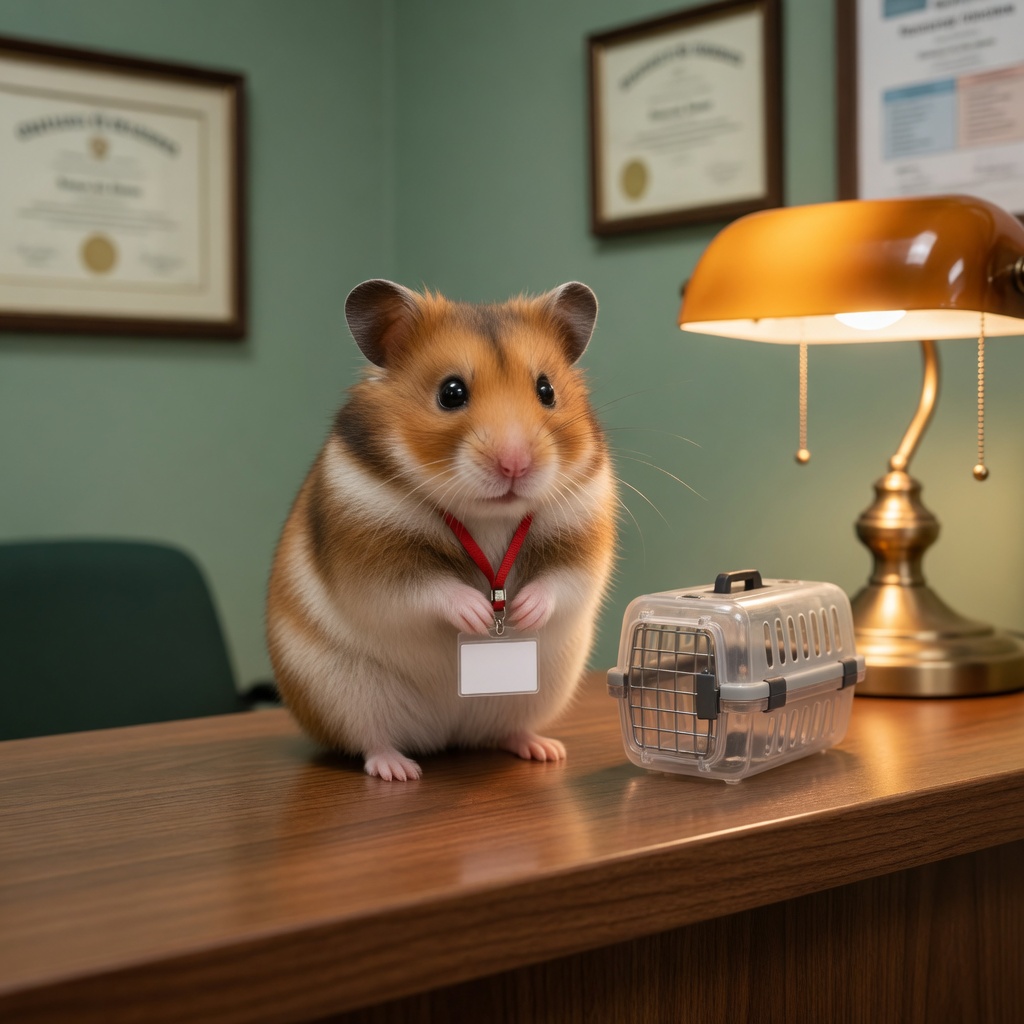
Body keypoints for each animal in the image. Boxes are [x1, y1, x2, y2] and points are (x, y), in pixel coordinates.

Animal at [266, 279, 616, 781]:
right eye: (451, 392)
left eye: (546, 390)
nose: (515, 465)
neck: (487, 516)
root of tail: (447, 735)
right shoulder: (372, 556)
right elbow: (426, 589)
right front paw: (477, 614)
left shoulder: (585, 533)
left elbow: (562, 581)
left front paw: (522, 612)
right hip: (342, 695)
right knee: (370, 740)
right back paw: (399, 771)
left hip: (535, 695)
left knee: (505, 731)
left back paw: (546, 750)